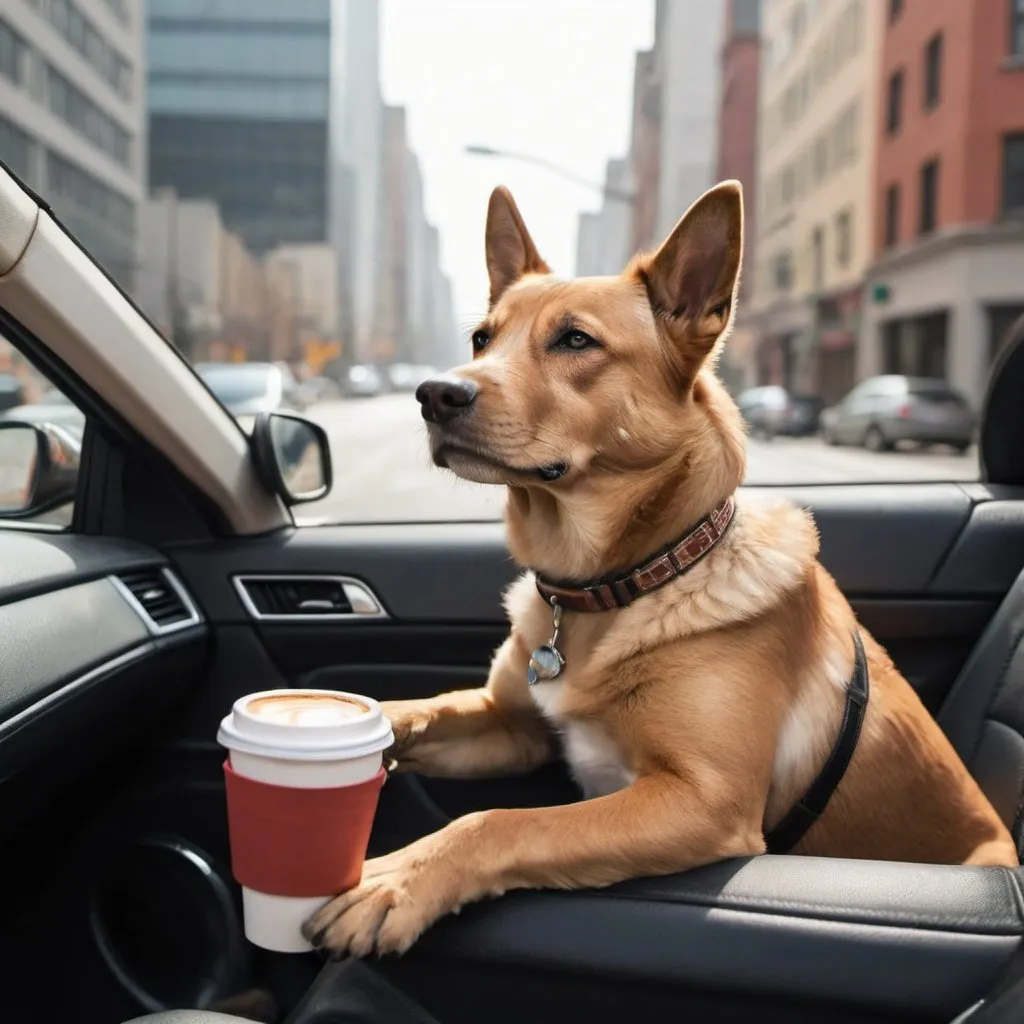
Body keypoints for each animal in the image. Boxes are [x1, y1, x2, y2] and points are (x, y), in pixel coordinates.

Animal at [303, 180, 1015, 954]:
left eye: (575, 340)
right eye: (481, 339)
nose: (434, 394)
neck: (623, 583)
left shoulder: (701, 801)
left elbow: (500, 822)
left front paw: (400, 879)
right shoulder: (509, 728)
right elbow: (414, 710)